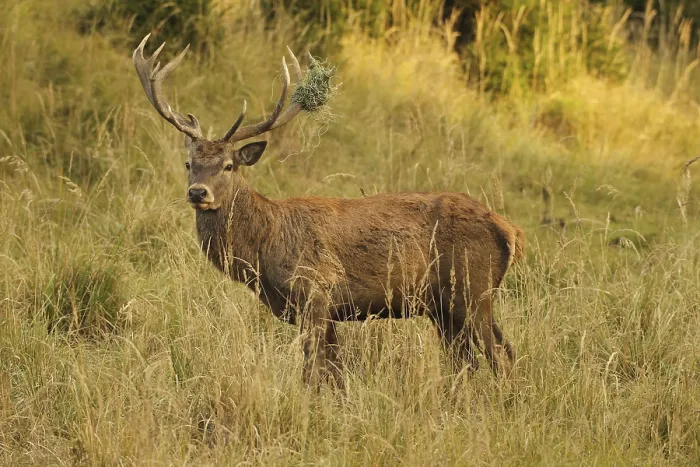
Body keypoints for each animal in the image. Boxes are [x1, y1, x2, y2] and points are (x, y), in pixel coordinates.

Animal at [133, 34, 525, 388]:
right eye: (189, 164)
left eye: (229, 166)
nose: (198, 192)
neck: (264, 248)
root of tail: (509, 230)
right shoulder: (326, 310)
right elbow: (335, 375)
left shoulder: (315, 290)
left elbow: (312, 372)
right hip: (445, 307)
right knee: (470, 361)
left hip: (472, 288)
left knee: (501, 355)